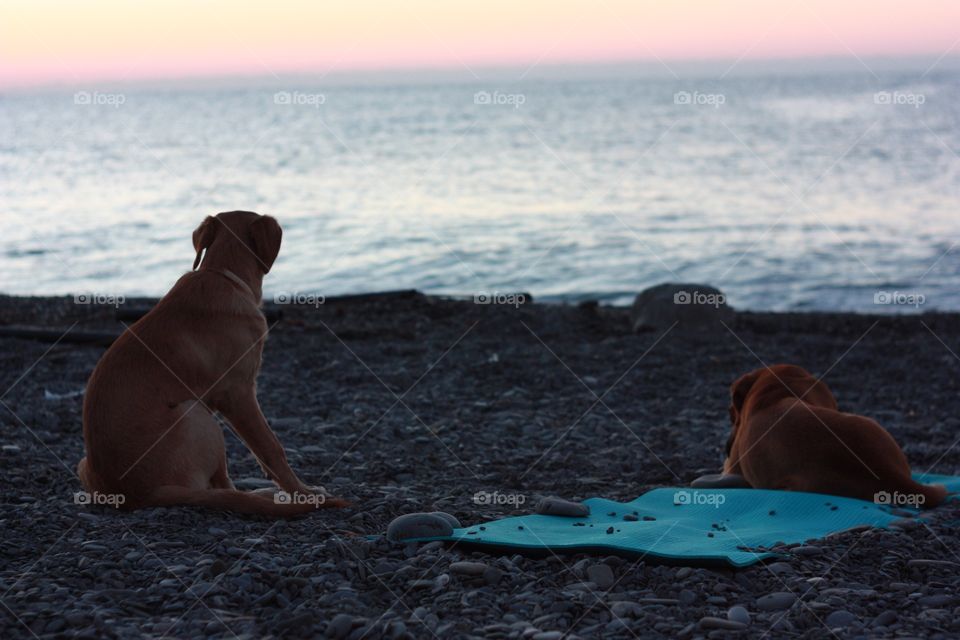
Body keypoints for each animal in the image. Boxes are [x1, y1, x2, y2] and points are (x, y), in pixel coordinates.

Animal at [79, 210, 346, 516]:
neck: (226, 275)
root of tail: (137, 495)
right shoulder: (238, 394)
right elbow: (271, 448)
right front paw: (303, 493)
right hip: (195, 414)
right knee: (221, 487)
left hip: (85, 464)